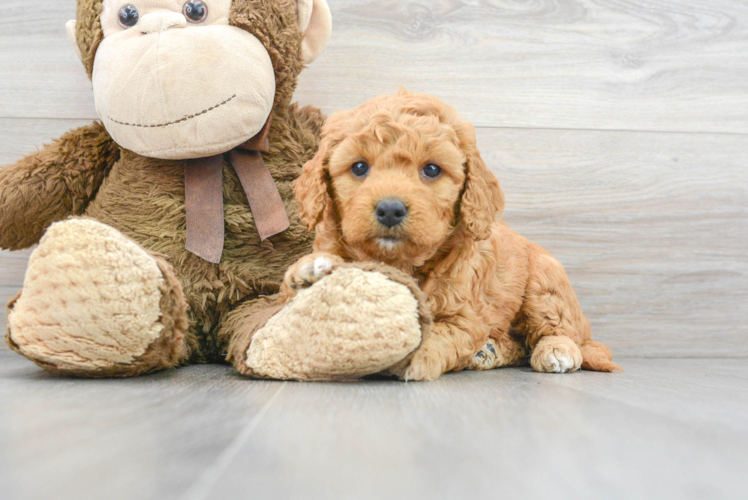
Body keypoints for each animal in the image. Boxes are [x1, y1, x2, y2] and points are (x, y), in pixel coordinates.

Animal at [286, 92, 620, 380]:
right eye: (359, 167)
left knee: (563, 331)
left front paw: (415, 354)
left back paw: (556, 351)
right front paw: (309, 270)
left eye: (432, 170)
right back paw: (488, 352)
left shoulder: (464, 315)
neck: (401, 262)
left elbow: (442, 333)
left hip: (545, 283)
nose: (390, 209)